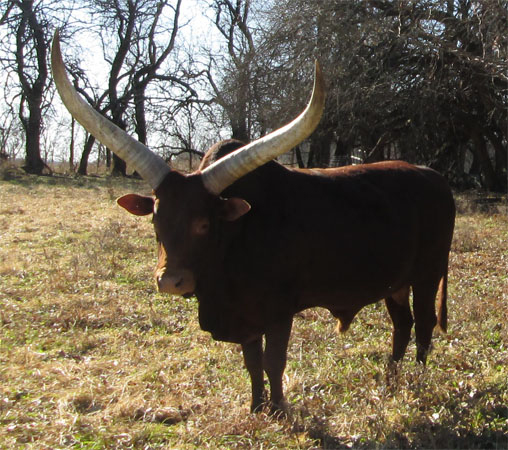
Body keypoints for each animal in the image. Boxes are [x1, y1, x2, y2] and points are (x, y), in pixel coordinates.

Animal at [52, 29, 456, 414]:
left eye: (203, 223)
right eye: (155, 220)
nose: (170, 281)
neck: (237, 239)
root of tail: (436, 178)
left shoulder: (279, 312)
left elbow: (273, 362)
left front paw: (278, 409)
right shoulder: (243, 316)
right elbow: (252, 362)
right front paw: (256, 406)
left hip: (427, 276)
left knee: (423, 326)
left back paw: (416, 380)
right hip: (395, 282)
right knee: (402, 325)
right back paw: (391, 381)